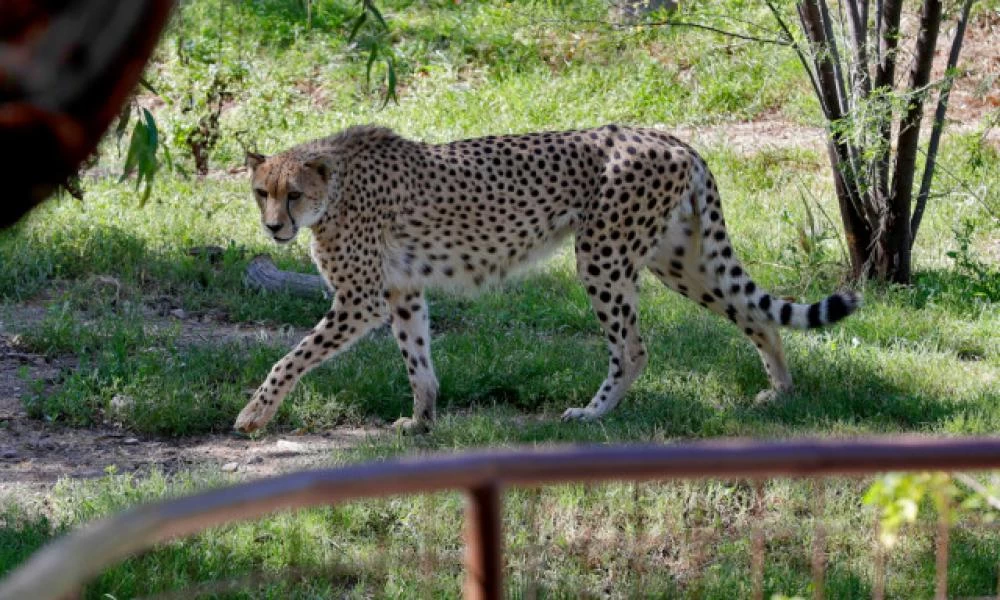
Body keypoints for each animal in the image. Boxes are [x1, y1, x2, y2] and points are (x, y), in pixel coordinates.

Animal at [234, 125, 860, 432]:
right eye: (262, 192)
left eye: (294, 194)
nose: (273, 227)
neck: (334, 185)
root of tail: (671, 137)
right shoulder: (401, 290)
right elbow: (418, 360)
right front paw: (422, 420)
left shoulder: (361, 299)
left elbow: (289, 358)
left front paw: (253, 417)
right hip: (680, 260)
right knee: (755, 313)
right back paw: (780, 391)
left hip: (603, 255)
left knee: (632, 347)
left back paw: (593, 413)